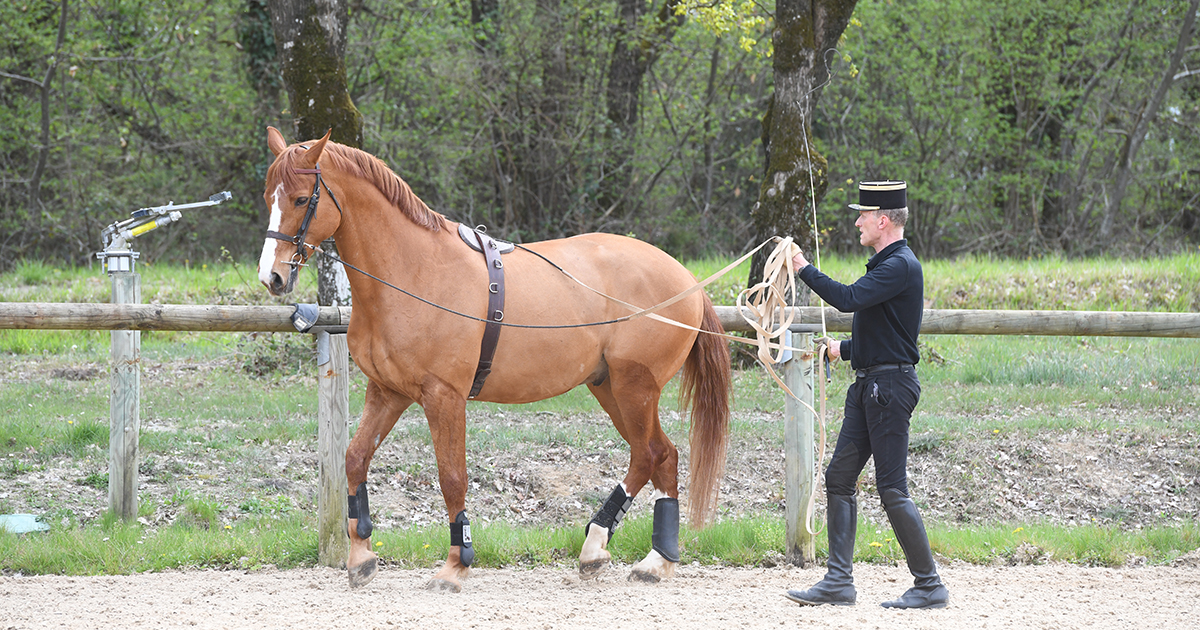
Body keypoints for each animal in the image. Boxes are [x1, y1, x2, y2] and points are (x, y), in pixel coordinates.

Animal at [256, 127, 724, 590]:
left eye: (302, 199)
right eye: (268, 197)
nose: (271, 277)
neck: (413, 272)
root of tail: (687, 279)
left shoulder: (444, 397)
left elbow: (452, 478)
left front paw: (455, 564)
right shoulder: (387, 392)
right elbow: (354, 460)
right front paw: (361, 557)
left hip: (635, 388)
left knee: (648, 455)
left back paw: (606, 548)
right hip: (610, 387)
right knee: (663, 456)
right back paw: (652, 560)